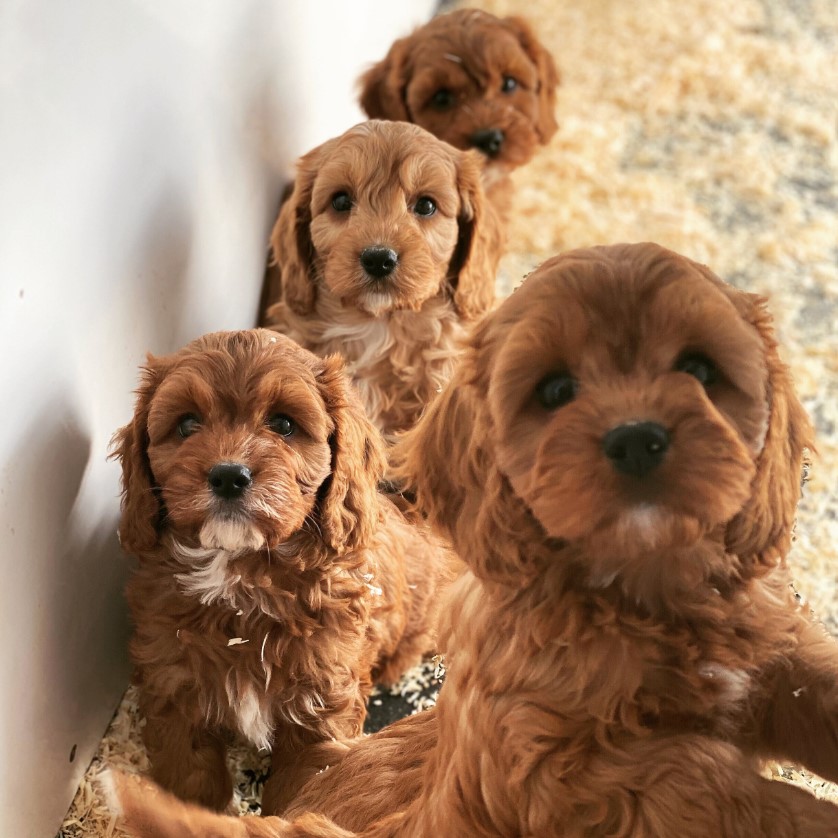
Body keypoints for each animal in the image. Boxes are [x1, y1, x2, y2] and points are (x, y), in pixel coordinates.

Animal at [110, 332, 456, 816]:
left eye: (284, 424)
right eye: (187, 424)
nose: (229, 475)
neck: (243, 578)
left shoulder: (321, 705)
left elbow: (304, 790)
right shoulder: (175, 690)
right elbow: (191, 780)